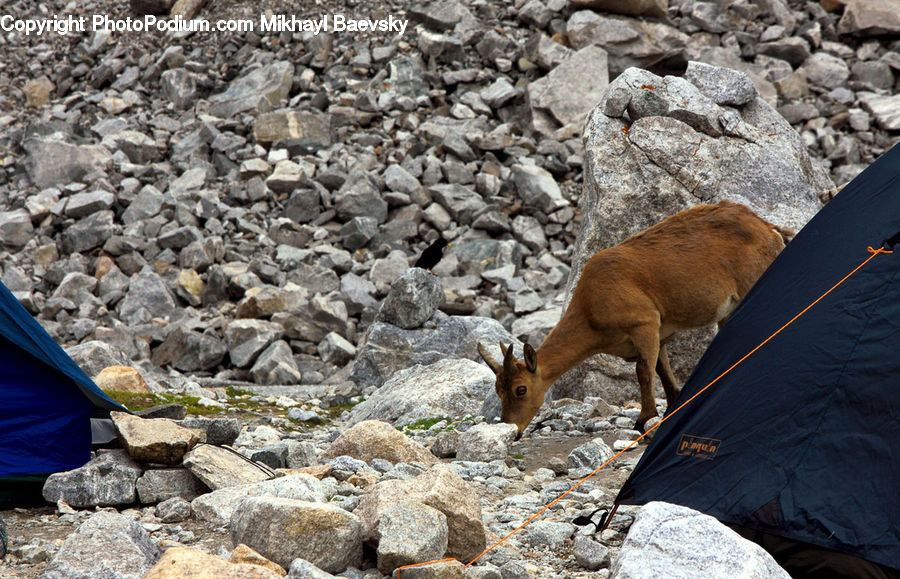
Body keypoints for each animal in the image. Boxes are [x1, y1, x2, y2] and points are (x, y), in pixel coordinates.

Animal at [478, 200, 793, 439]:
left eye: (521, 389)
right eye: (497, 389)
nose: (512, 430)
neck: (591, 309)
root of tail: (769, 229)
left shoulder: (645, 324)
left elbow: (644, 371)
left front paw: (644, 420)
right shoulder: (659, 335)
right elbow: (662, 371)